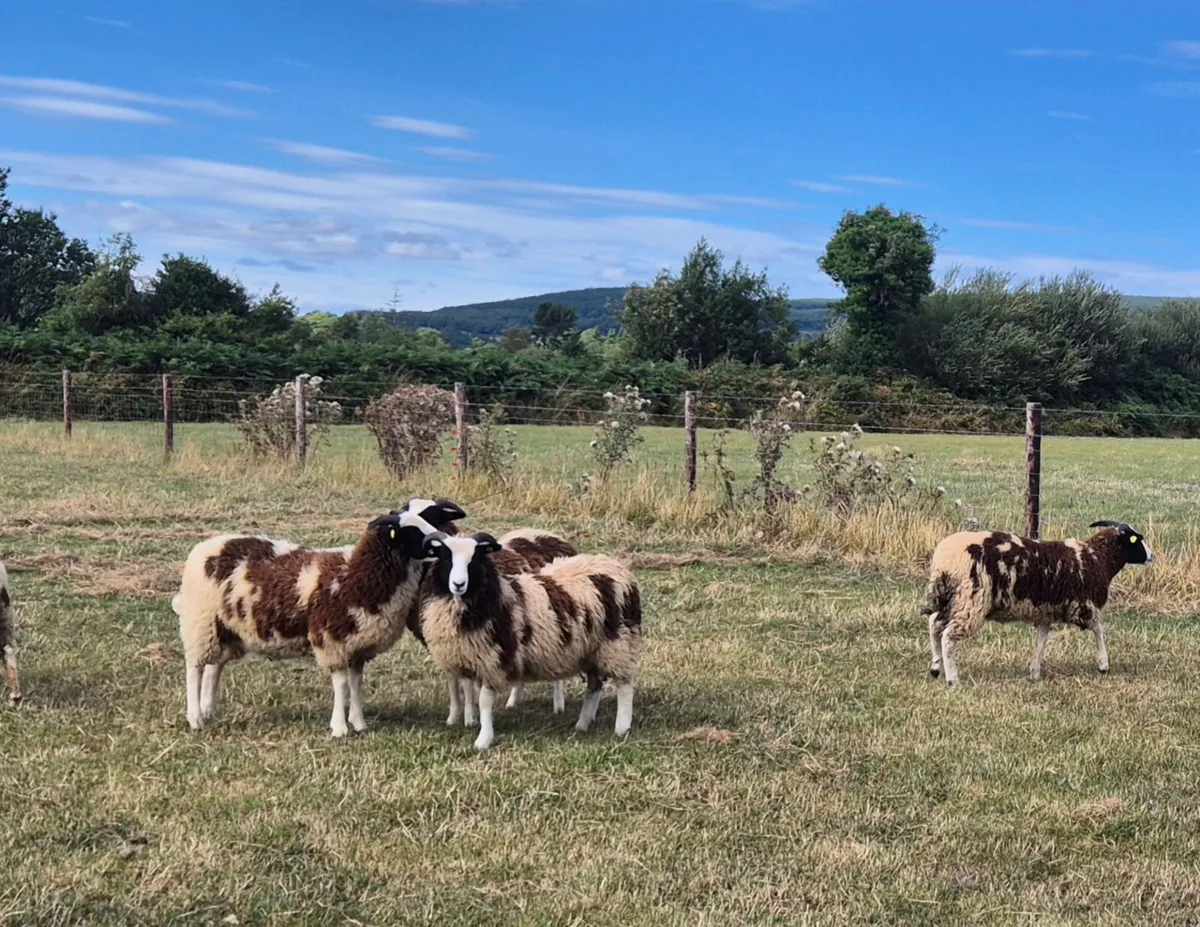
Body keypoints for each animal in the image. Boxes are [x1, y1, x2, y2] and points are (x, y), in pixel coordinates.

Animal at [172, 510, 435, 737]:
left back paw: (208, 710)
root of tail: (205, 547)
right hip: (201, 623)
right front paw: (339, 728)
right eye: (411, 531)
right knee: (194, 668)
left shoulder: (357, 645)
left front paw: (359, 723)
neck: (355, 575)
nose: (439, 541)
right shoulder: (332, 640)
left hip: (226, 629)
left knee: (214, 667)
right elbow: (341, 685)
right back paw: (195, 718)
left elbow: (356, 683)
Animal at [417, 530, 642, 751]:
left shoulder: (495, 659)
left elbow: (485, 702)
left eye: (474, 559)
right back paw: (582, 724)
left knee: (624, 685)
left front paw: (483, 740)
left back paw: (621, 728)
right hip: (592, 650)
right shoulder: (470, 657)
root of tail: (614, 566)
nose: (458, 584)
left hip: (618, 644)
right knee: (594, 686)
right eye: (445, 557)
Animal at [925, 520, 1153, 686]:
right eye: (1136, 539)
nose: (1152, 555)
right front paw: (1103, 664)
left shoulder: (1045, 612)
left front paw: (1034, 672)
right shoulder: (1083, 606)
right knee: (947, 636)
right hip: (971, 600)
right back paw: (952, 678)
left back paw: (936, 667)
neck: (1097, 558)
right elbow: (1099, 629)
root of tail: (943, 560)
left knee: (934, 623)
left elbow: (1041, 641)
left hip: (949, 598)